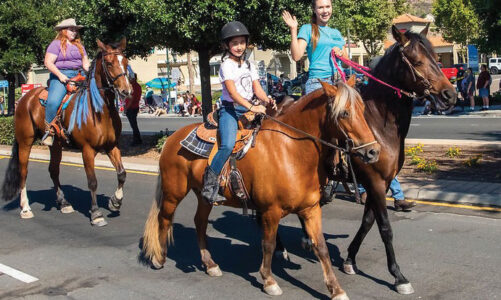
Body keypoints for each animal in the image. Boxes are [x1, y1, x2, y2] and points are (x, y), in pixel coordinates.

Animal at [0, 37, 133, 226]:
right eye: (109, 63)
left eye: (126, 62)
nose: (126, 91)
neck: (100, 110)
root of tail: (24, 98)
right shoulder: (87, 149)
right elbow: (92, 181)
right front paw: (96, 214)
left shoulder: (112, 146)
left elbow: (122, 174)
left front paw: (115, 202)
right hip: (25, 141)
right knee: (23, 172)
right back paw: (25, 208)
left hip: (55, 145)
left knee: (53, 170)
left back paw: (63, 203)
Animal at [141, 79, 378, 300]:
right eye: (344, 112)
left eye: (363, 110)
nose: (373, 151)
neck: (291, 150)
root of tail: (172, 138)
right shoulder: (270, 211)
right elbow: (269, 244)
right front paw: (269, 280)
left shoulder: (310, 209)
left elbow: (321, 247)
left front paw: (335, 289)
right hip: (173, 192)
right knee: (164, 219)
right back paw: (159, 258)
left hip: (203, 196)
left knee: (199, 222)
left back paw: (210, 264)